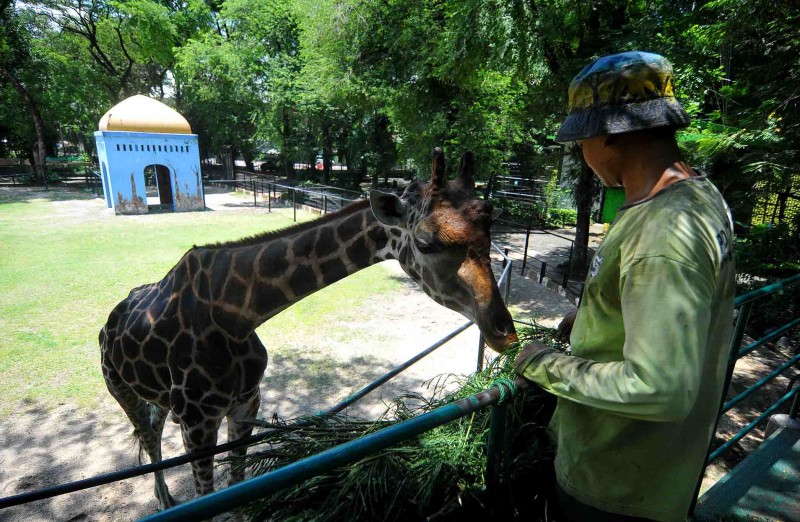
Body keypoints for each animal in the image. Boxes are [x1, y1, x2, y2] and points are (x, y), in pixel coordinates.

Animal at [98, 148, 520, 510]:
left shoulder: (246, 403)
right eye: (426, 242)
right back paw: (164, 501)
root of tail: (108, 324)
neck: (238, 315)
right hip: (120, 387)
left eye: (489, 229)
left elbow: (236, 488)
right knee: (147, 435)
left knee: (153, 428)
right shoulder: (198, 423)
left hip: (158, 398)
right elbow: (210, 497)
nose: (504, 333)